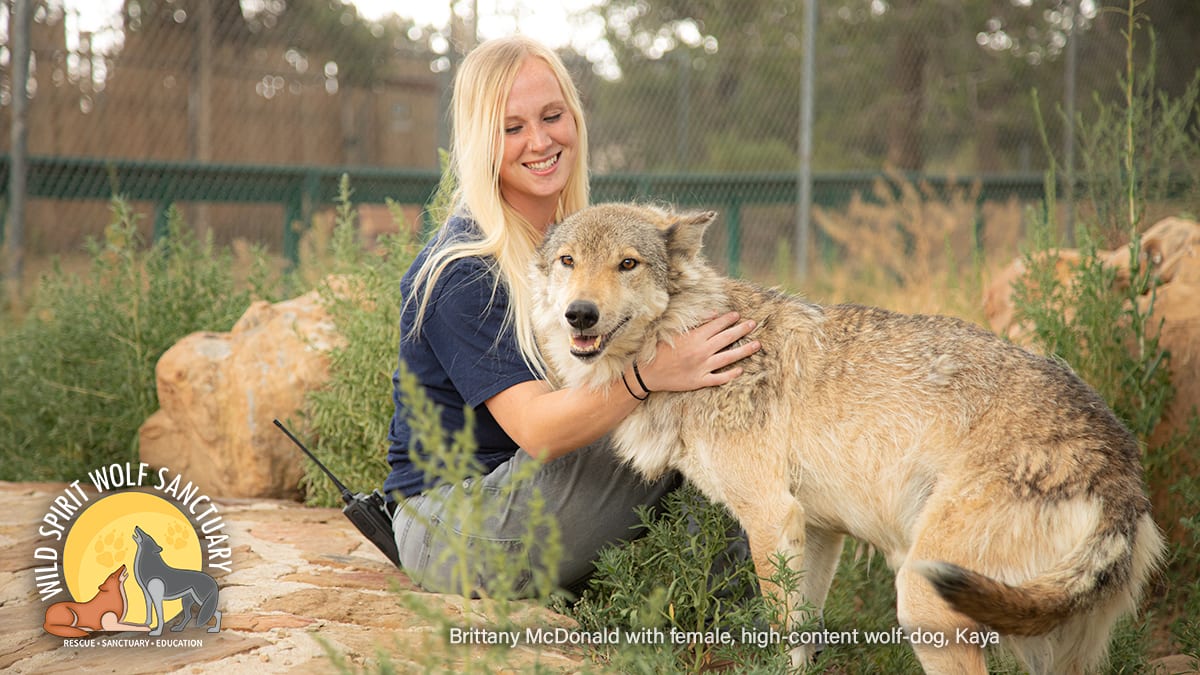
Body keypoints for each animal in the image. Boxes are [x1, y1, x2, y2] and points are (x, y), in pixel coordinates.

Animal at [532, 201, 1161, 667]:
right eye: (568, 261)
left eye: (628, 264)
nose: (580, 314)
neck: (687, 339)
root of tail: (1122, 471)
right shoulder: (816, 530)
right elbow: (805, 636)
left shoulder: (770, 515)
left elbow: (780, 638)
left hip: (923, 596)